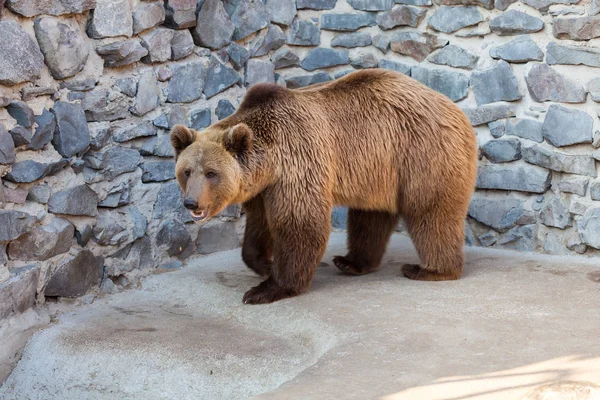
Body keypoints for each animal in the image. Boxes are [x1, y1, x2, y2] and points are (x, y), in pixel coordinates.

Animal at [170, 69, 478, 304]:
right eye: (186, 171)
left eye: (211, 173)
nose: (191, 203)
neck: (268, 161)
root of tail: (456, 109)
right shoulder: (262, 185)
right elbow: (260, 223)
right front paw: (263, 264)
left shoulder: (297, 160)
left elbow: (300, 223)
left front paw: (266, 289)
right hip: (379, 169)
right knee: (370, 217)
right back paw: (352, 262)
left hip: (422, 153)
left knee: (431, 213)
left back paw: (429, 270)